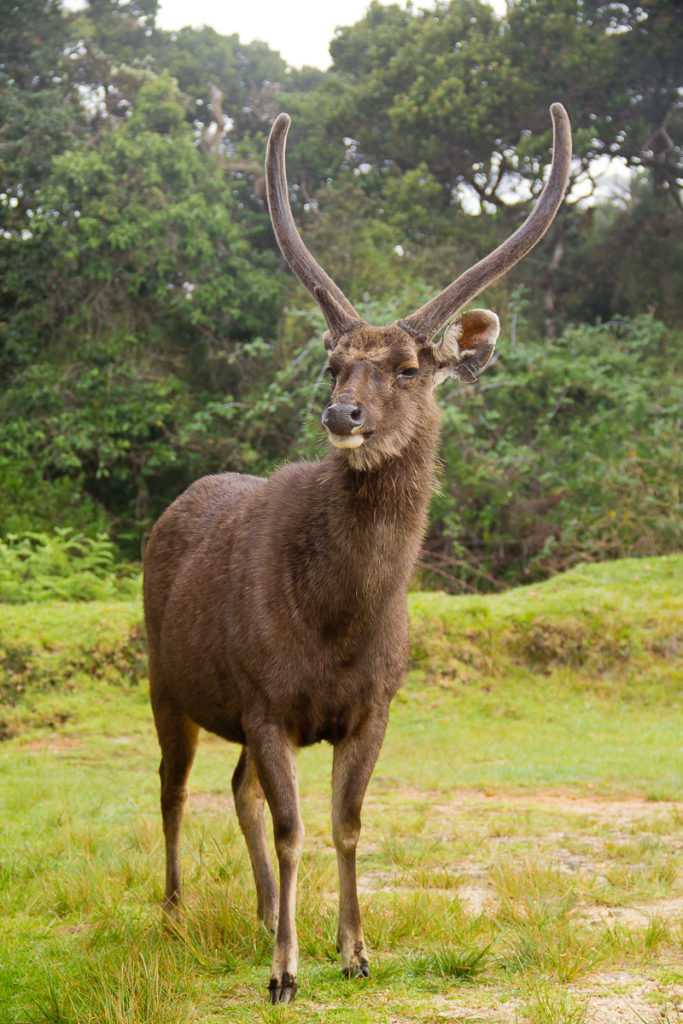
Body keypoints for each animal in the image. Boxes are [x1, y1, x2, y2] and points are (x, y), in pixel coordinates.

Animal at [143, 101, 573, 999]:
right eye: (334, 364)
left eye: (410, 367)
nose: (342, 414)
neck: (336, 619)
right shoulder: (265, 699)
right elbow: (294, 830)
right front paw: (285, 973)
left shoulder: (373, 705)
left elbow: (345, 824)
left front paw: (352, 951)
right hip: (166, 681)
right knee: (172, 785)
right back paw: (172, 914)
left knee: (232, 788)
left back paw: (261, 914)